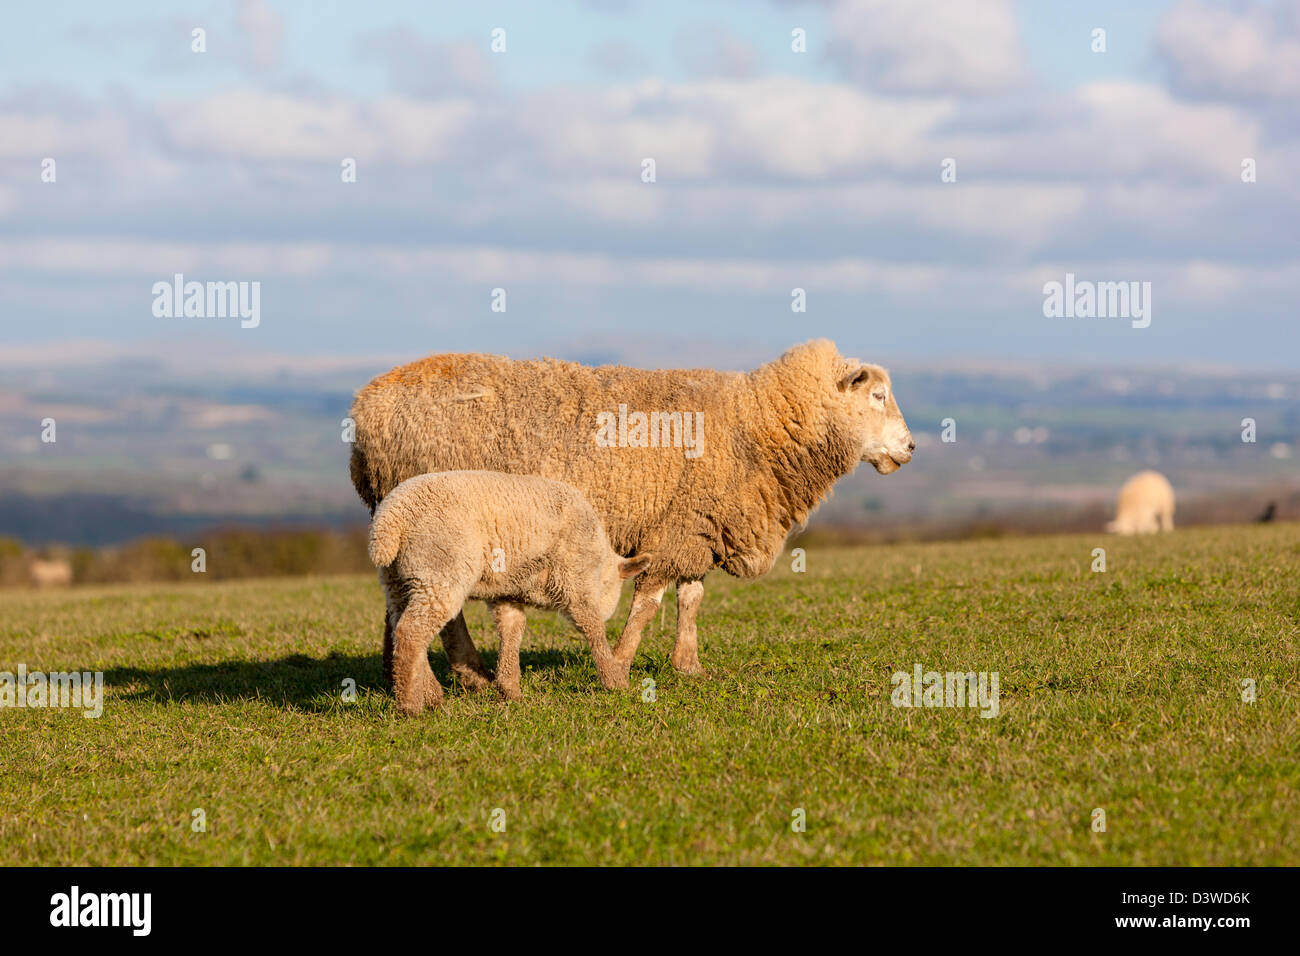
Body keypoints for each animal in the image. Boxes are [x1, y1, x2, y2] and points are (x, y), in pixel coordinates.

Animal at [350, 338, 914, 687]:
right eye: (878, 395)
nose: (910, 448)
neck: (754, 425)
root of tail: (364, 409)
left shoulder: (695, 527)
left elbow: (692, 598)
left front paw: (688, 665)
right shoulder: (677, 528)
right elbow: (649, 603)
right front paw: (620, 663)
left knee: (400, 603)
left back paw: (401, 676)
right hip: (444, 524)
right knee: (442, 611)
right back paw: (467, 676)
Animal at [369, 470, 650, 713]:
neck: (600, 562)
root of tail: (391, 520)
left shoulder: (505, 591)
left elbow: (512, 630)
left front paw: (509, 690)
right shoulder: (575, 577)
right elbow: (592, 628)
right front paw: (615, 681)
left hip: (397, 580)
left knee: (400, 626)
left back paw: (430, 695)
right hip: (440, 569)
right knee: (411, 632)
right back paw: (411, 706)